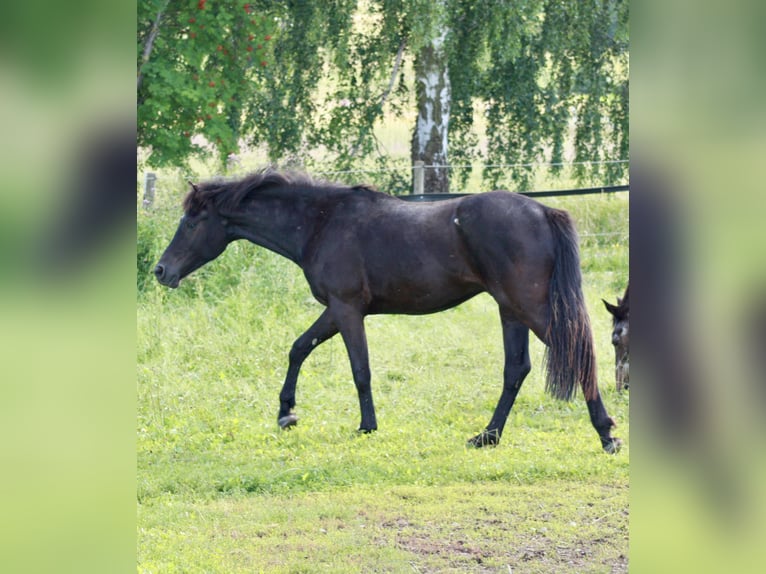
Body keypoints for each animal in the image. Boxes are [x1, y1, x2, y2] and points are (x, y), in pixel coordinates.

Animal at [156, 170, 624, 454]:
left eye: (192, 222)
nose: (162, 270)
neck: (321, 223)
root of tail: (543, 210)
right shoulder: (335, 311)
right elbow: (298, 348)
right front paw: (287, 412)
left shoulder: (347, 310)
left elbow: (359, 370)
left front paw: (366, 426)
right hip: (510, 311)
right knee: (516, 369)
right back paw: (487, 437)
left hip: (529, 308)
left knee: (578, 353)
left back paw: (605, 433)